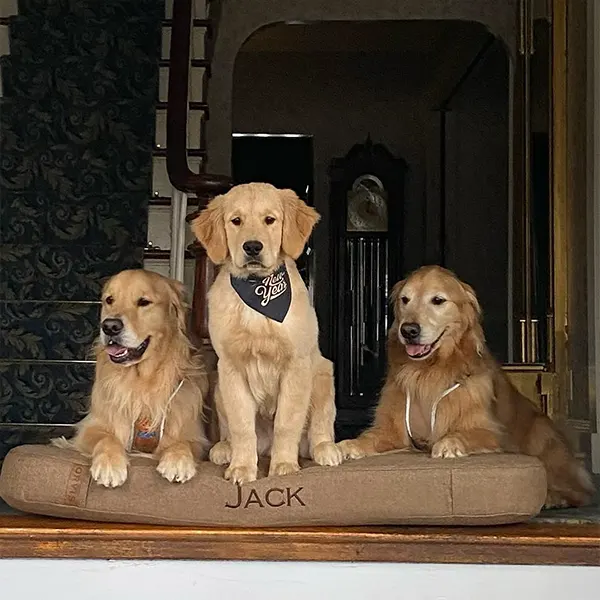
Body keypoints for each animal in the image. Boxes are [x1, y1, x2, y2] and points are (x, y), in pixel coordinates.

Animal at [54, 270, 209, 488]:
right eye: (109, 300)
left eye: (144, 302)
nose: (110, 326)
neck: (142, 380)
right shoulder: (90, 427)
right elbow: (105, 438)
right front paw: (109, 464)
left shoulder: (195, 435)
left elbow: (183, 443)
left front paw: (178, 461)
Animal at [192, 182, 342, 482]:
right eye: (236, 221)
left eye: (270, 220)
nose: (252, 247)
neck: (259, 294)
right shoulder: (231, 368)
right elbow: (241, 426)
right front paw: (242, 467)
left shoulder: (296, 366)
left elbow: (286, 422)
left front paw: (283, 466)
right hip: (219, 388)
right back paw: (224, 449)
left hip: (322, 374)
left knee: (320, 425)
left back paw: (325, 450)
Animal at [338, 266, 596, 506]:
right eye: (405, 299)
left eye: (438, 300)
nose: (408, 330)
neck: (430, 371)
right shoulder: (393, 429)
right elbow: (370, 437)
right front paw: (349, 445)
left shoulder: (492, 432)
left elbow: (464, 433)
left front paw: (449, 444)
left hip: (541, 435)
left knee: (578, 491)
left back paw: (553, 498)